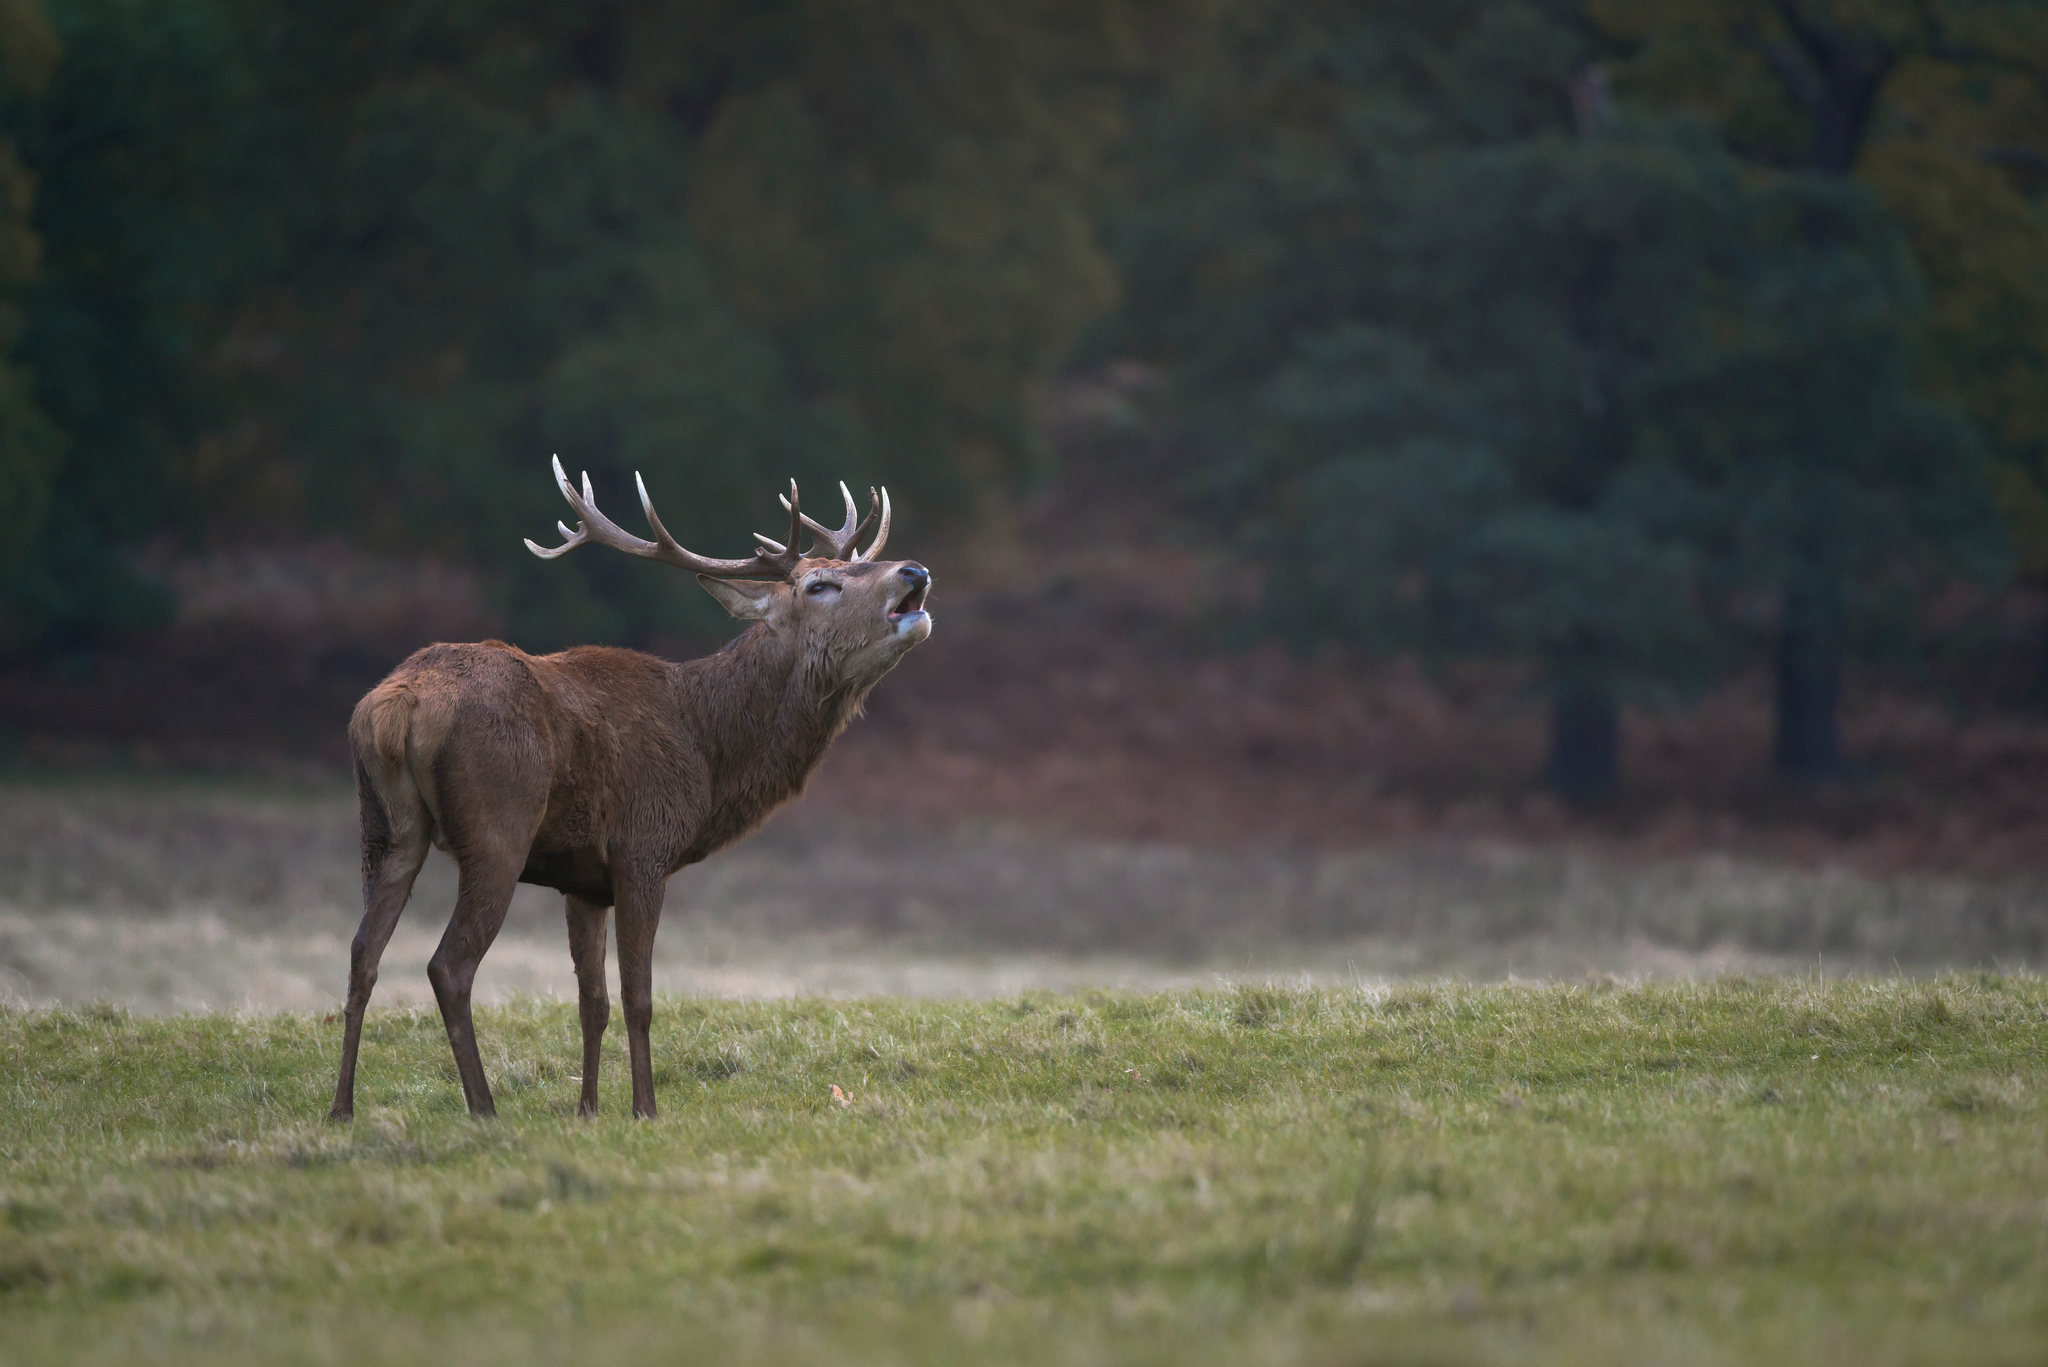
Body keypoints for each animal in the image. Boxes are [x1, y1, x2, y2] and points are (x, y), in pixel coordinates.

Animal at [323, 459, 933, 1123]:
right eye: (820, 585)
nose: (915, 570)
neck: (707, 751)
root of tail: (397, 704)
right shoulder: (643, 848)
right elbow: (638, 995)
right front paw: (645, 1110)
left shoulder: (582, 880)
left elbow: (592, 1001)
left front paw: (588, 1110)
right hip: (497, 826)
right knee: (449, 965)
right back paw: (483, 1108)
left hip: (383, 826)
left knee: (362, 953)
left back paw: (342, 1108)